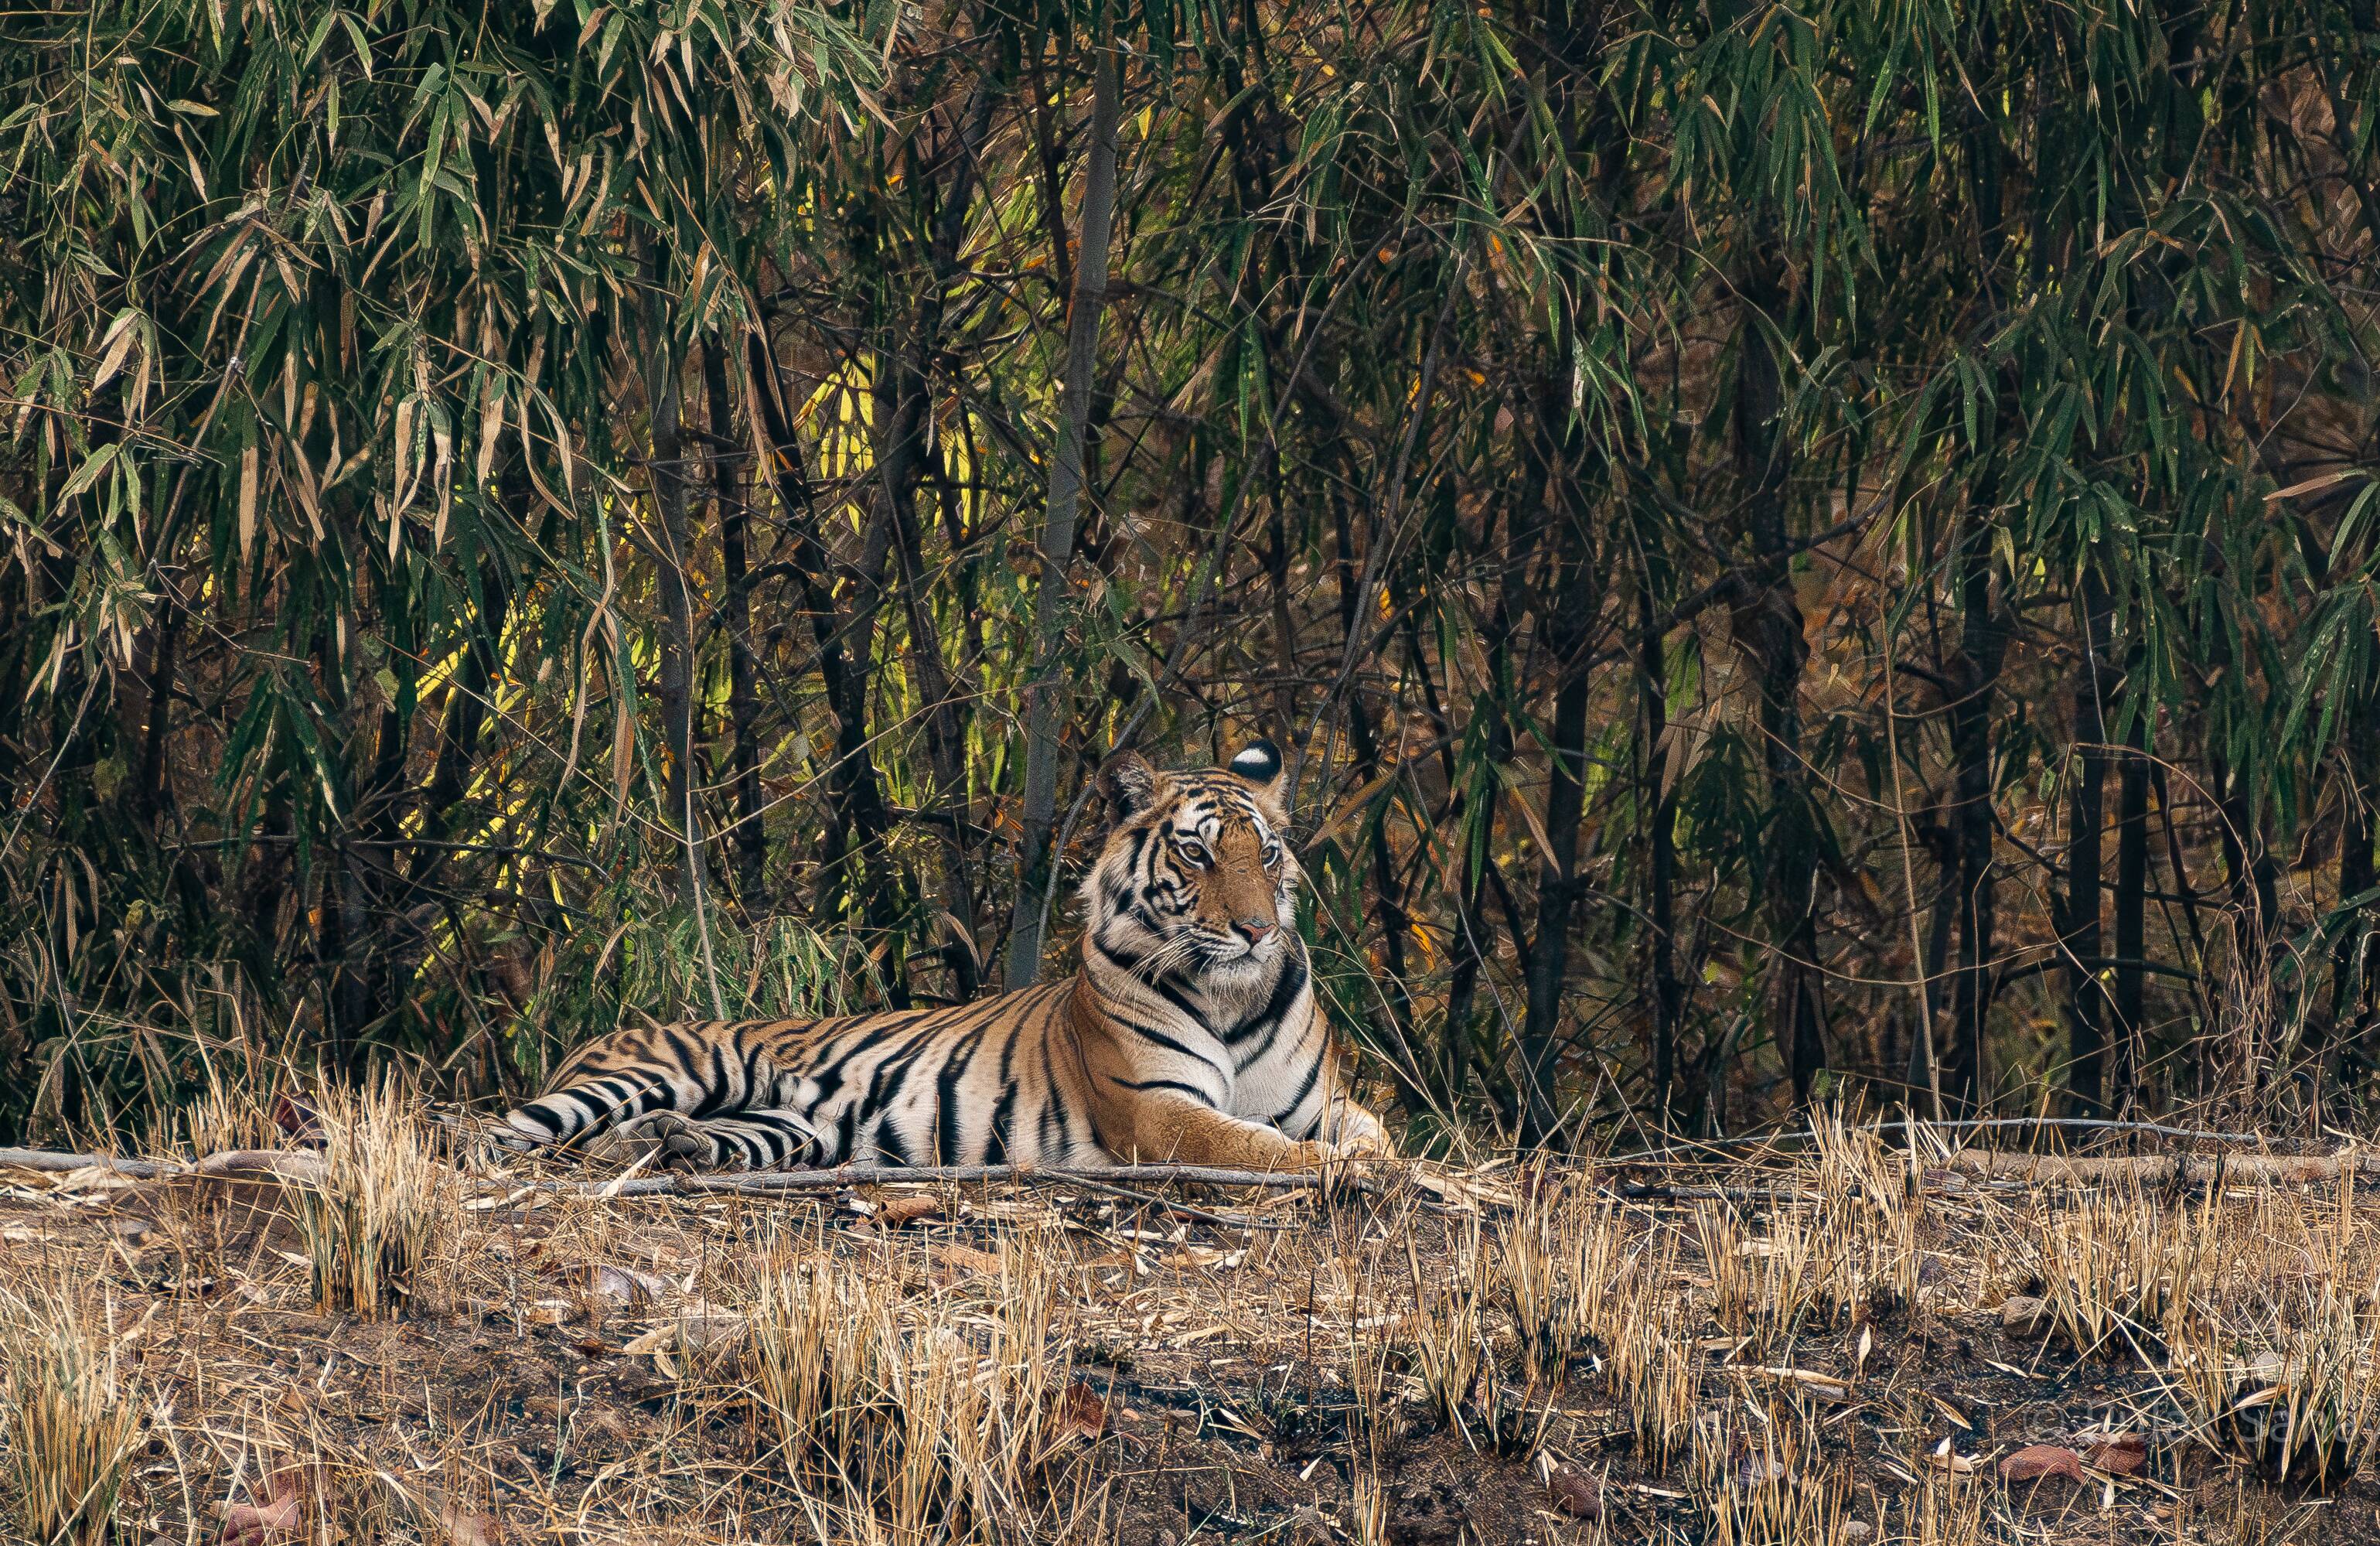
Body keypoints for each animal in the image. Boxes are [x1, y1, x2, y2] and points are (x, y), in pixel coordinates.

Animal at [500, 741, 1390, 1172]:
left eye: (1265, 854)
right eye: (1199, 854)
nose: (1257, 931)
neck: (1232, 997)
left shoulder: (1321, 1099)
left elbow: (1373, 1134)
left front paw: (1372, 1162)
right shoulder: (1158, 1109)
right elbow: (1255, 1146)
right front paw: (1330, 1168)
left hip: (788, 1127)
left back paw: (659, 1144)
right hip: (665, 1071)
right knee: (509, 1130)